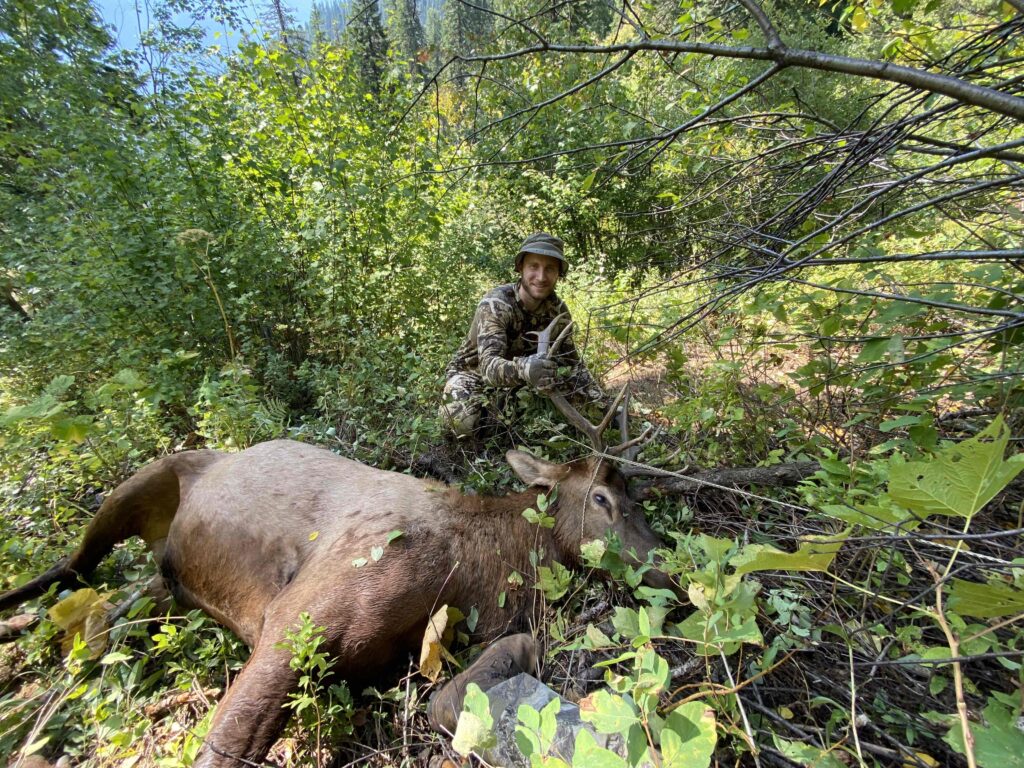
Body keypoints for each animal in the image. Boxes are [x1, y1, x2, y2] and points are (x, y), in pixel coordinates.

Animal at [0, 324, 672, 767]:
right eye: (602, 499)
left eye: (639, 496)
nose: (666, 564)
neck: (474, 570)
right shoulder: (295, 618)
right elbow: (221, 748)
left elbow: (463, 690)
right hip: (139, 484)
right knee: (69, 566)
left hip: (164, 583)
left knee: (114, 601)